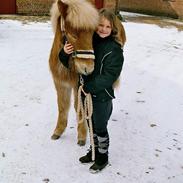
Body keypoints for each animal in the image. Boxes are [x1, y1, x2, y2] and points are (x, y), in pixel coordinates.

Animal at [49, 0, 98, 146]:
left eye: (92, 34)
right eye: (73, 34)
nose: (88, 68)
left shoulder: (78, 86)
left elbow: (79, 108)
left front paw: (82, 136)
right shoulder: (60, 83)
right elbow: (62, 106)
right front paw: (58, 131)